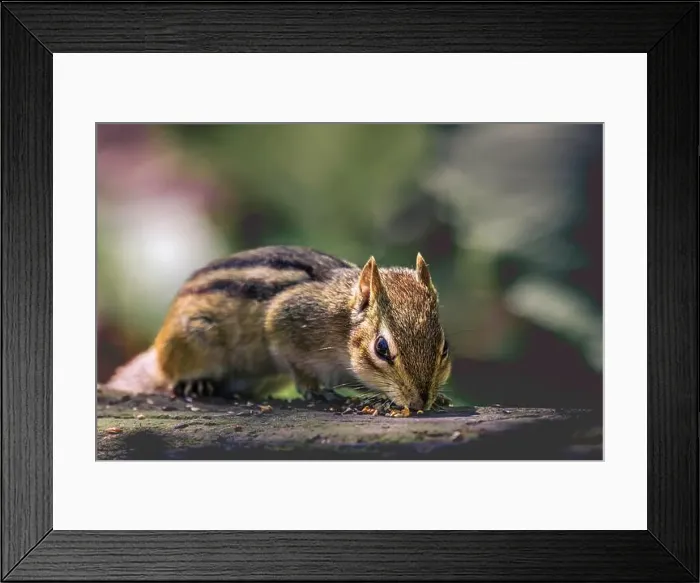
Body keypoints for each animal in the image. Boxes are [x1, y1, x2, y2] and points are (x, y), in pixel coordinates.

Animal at [102, 245, 452, 411]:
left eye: (444, 347)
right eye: (381, 348)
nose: (421, 403)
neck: (340, 322)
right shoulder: (284, 321)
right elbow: (297, 366)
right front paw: (317, 389)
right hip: (190, 342)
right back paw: (195, 383)